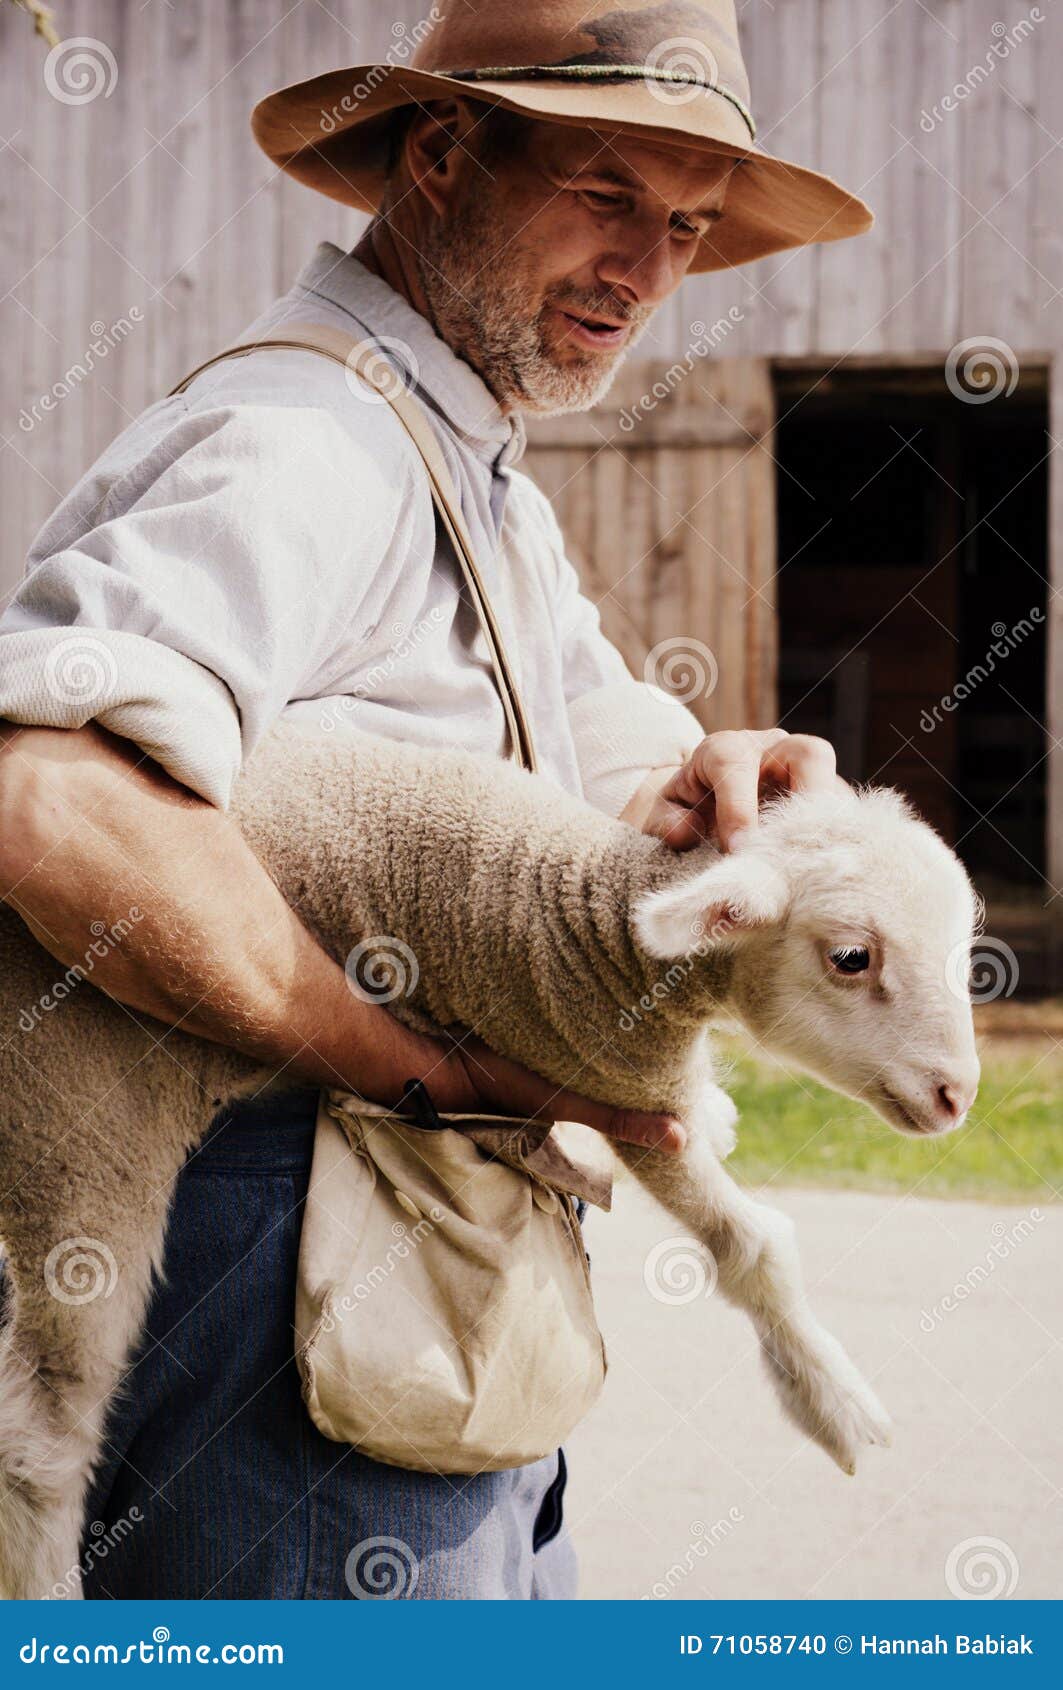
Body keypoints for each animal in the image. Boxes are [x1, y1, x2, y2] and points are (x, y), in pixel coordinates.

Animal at [0, 720, 981, 1600]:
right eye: (850, 957)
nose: (956, 1097)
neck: (595, 906)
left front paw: (720, 1110)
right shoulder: (616, 1081)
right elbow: (755, 1249)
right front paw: (837, 1405)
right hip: (77, 1120)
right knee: (44, 1434)